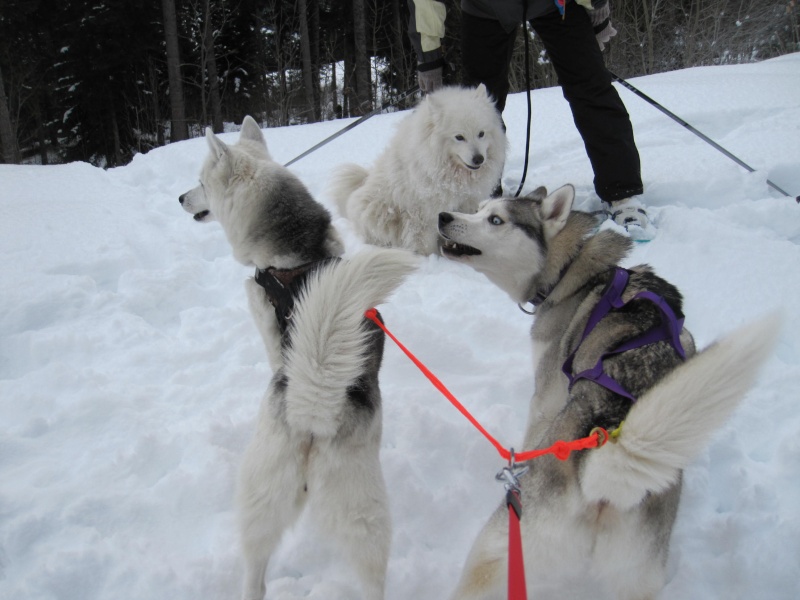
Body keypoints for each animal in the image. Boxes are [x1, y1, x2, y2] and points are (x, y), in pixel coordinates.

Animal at [332, 83, 506, 254]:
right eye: (459, 137)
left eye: (481, 134)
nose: (479, 159)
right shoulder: (423, 213)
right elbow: (426, 242)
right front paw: (431, 258)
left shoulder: (466, 203)